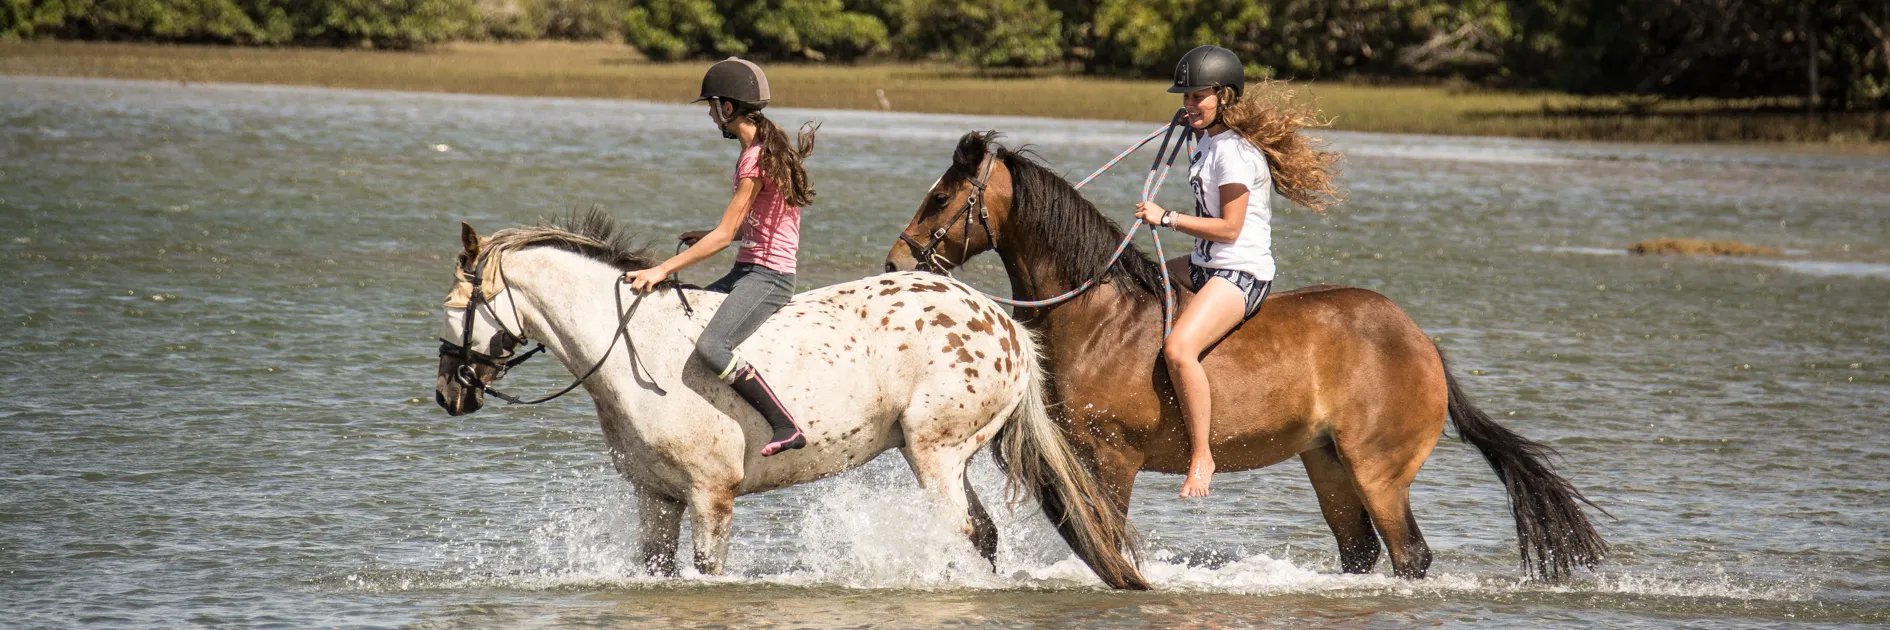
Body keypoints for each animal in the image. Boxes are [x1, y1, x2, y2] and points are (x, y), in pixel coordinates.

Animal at [431, 211, 1146, 589]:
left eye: (456, 308)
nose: (447, 395)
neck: (636, 350)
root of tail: (1007, 325)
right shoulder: (656, 496)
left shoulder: (710, 494)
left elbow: (708, 571)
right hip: (946, 455)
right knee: (984, 535)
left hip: (935, 453)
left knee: (962, 530)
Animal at [884, 132, 1607, 581]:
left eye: (942, 197)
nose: (895, 262)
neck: (1093, 318)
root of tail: (1423, 342)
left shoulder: (1112, 458)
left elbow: (1109, 541)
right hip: (1329, 466)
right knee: (1360, 553)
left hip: (1379, 470)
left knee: (1410, 555)